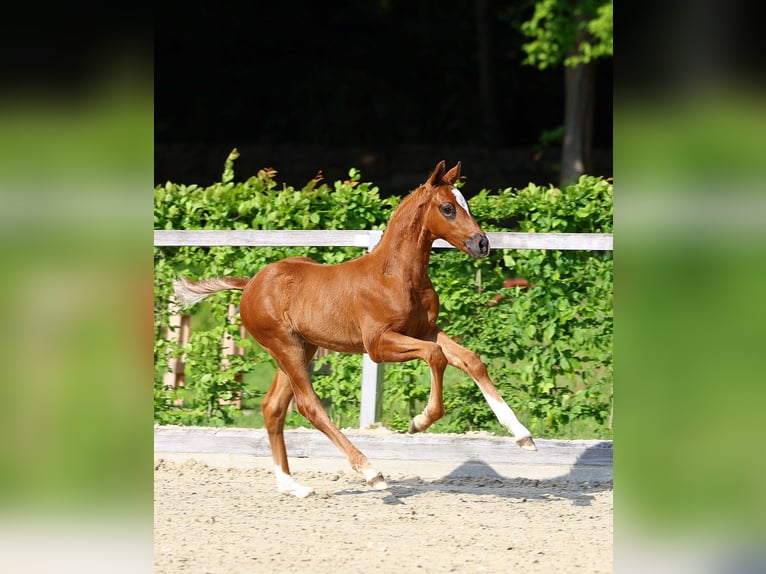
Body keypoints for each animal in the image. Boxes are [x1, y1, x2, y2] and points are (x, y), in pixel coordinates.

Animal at [173, 160, 536, 498]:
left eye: (467, 204)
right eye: (447, 208)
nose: (482, 244)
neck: (397, 276)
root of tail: (250, 284)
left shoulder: (425, 330)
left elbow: (470, 359)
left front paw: (522, 435)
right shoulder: (378, 344)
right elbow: (436, 357)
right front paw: (418, 422)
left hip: (301, 348)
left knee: (273, 407)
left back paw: (293, 486)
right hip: (285, 346)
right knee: (309, 405)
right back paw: (371, 472)